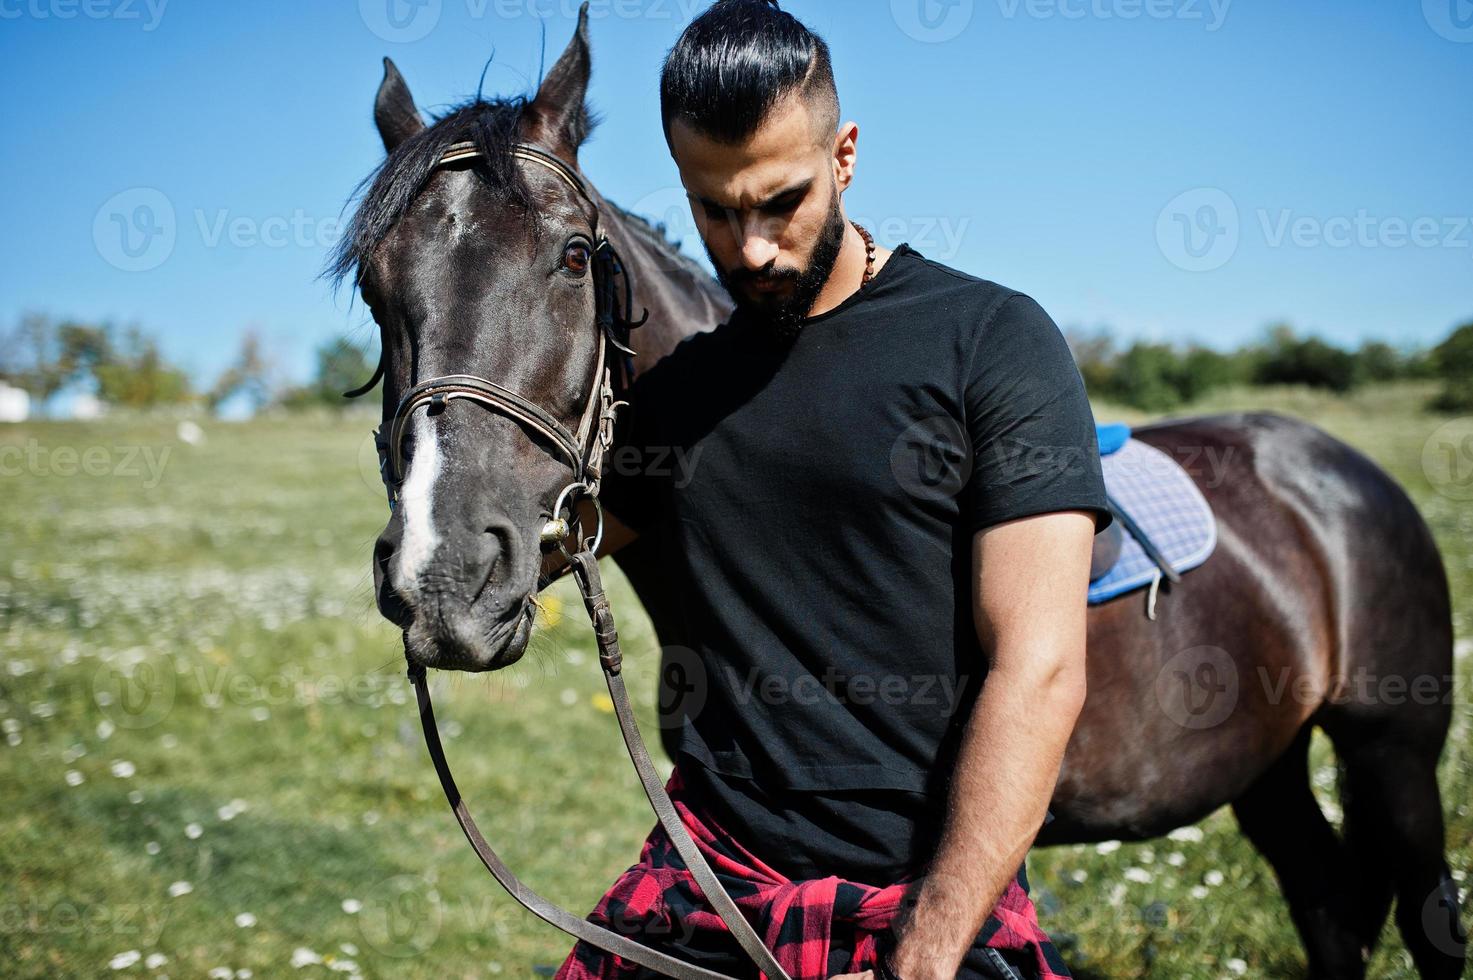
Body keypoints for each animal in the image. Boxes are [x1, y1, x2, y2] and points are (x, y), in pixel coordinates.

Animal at [337, 11, 1461, 972]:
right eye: (375, 286)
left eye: (572, 257)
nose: (443, 578)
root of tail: (1341, 471)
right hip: (1265, 762)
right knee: (1327, 903)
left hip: (1391, 751)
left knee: (1423, 913)